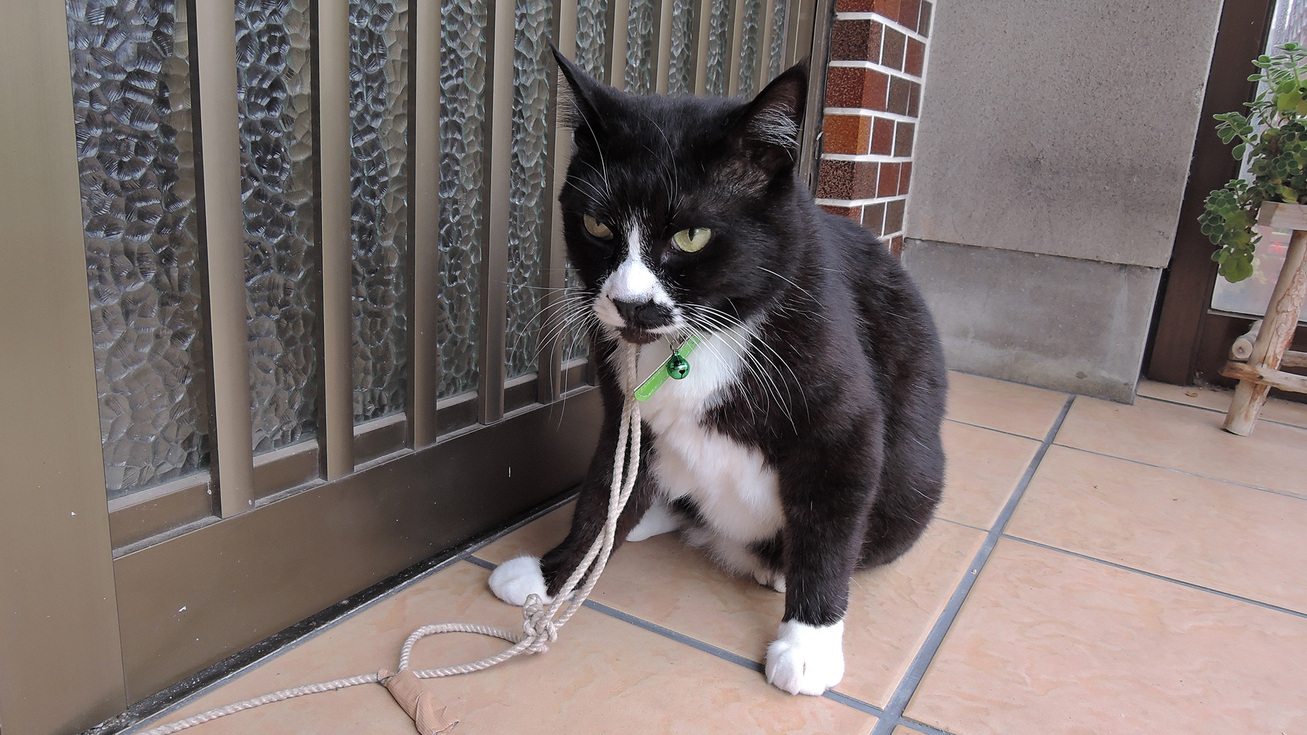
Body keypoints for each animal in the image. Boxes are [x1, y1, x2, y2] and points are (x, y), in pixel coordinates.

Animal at [486, 50, 946, 690]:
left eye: (691, 234)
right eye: (598, 225)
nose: (630, 303)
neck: (698, 340)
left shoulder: (844, 426)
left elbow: (828, 527)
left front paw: (809, 641)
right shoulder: (624, 408)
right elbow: (604, 488)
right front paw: (560, 569)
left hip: (913, 483)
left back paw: (776, 569)